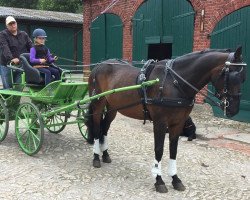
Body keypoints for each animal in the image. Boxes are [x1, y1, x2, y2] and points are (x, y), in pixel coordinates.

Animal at [85, 46, 246, 192]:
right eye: (232, 76)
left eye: (243, 78)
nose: (234, 110)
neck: (174, 82)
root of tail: (99, 66)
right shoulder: (160, 123)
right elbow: (159, 150)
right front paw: (159, 180)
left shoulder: (178, 123)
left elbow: (173, 150)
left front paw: (175, 179)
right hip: (98, 105)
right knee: (97, 128)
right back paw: (96, 157)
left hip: (112, 108)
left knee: (104, 129)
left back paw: (105, 154)